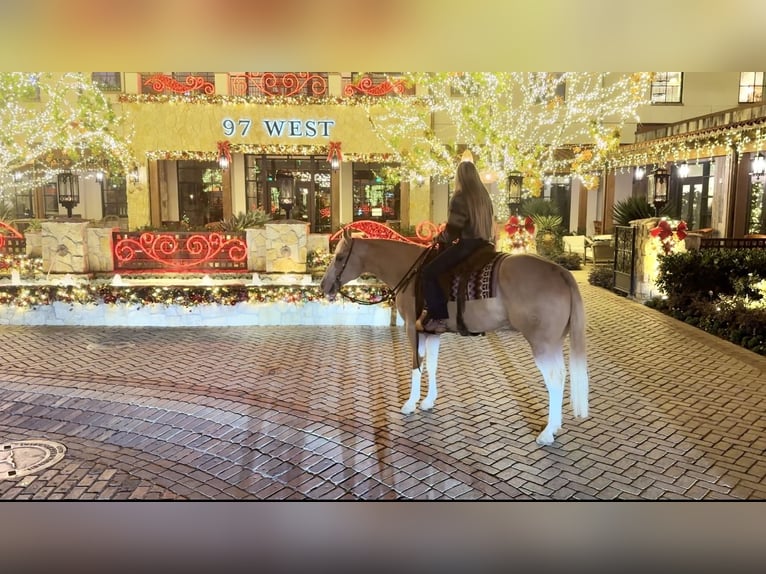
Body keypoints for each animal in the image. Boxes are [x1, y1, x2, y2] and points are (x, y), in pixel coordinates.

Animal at [320, 227, 592, 448]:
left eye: (340, 257)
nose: (324, 286)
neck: (412, 272)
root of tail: (559, 272)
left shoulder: (412, 331)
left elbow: (417, 366)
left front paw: (410, 404)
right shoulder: (431, 333)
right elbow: (432, 365)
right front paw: (428, 401)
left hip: (542, 344)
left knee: (554, 379)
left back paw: (547, 433)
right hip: (554, 344)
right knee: (562, 376)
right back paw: (555, 427)